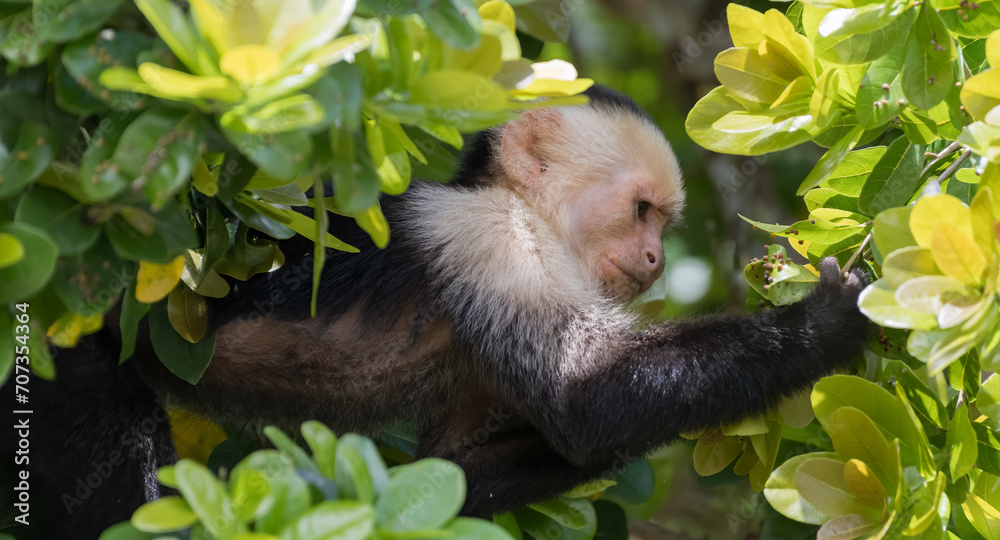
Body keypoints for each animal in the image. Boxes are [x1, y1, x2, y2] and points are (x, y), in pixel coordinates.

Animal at [0, 85, 869, 539]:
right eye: (642, 212)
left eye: (663, 223)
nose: (657, 260)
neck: (524, 210)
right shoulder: (492, 238)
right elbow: (584, 397)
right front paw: (825, 324)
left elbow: (447, 473)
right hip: (69, 355)